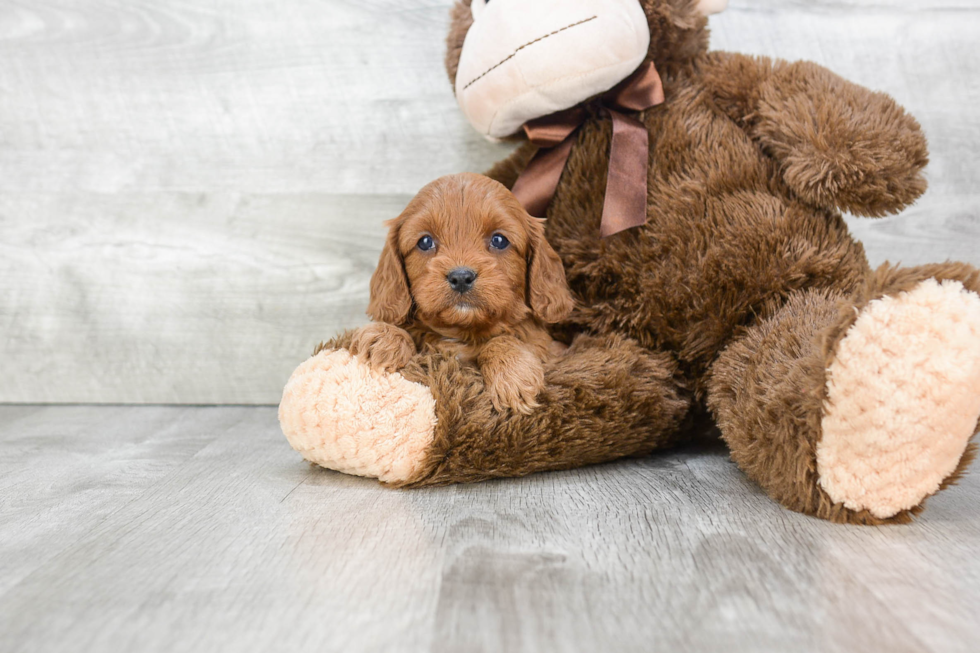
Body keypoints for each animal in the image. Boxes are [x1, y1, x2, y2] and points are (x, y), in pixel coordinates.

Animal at [348, 171, 576, 410]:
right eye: (425, 242)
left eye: (499, 240)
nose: (461, 278)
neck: (461, 335)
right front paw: (383, 338)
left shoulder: (555, 351)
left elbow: (505, 340)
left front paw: (512, 371)